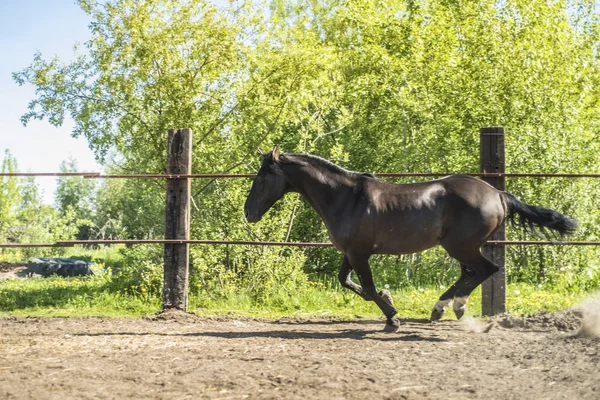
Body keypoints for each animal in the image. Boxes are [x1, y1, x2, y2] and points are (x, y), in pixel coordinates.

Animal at [243, 148, 576, 332]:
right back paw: (440, 309)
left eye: (262, 177)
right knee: (469, 273)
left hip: (462, 246)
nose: (249, 213)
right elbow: (347, 282)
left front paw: (392, 318)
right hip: (461, 247)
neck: (345, 198)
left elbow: (366, 287)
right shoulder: (350, 252)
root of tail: (498, 194)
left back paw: (456, 306)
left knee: (485, 270)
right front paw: (389, 300)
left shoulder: (360, 253)